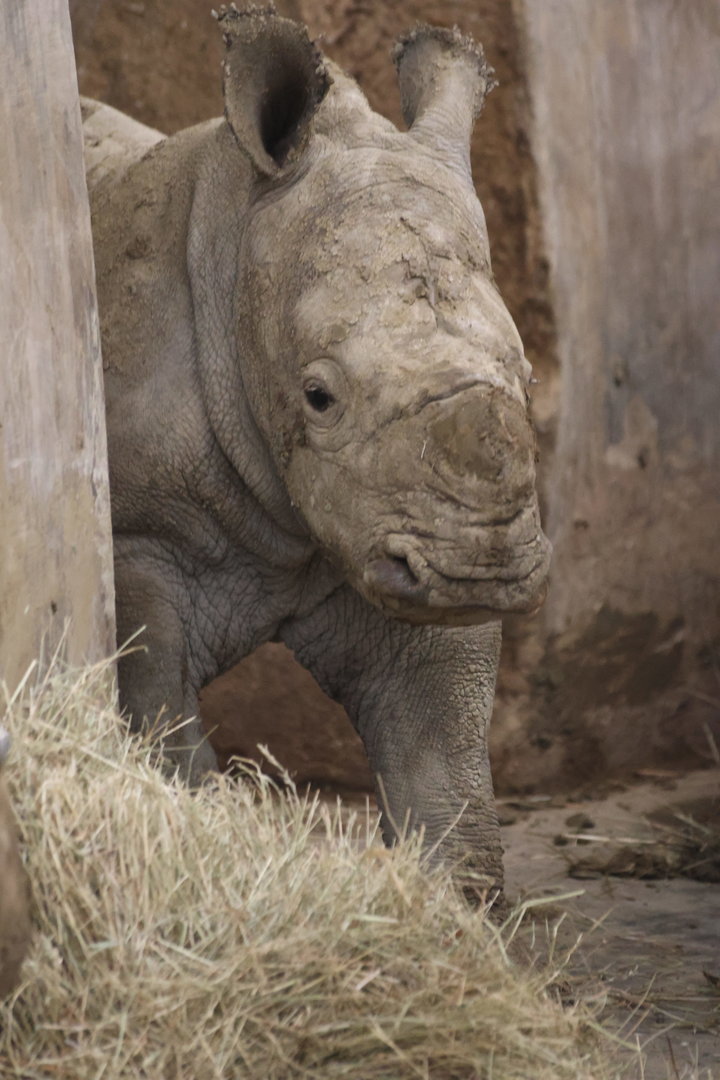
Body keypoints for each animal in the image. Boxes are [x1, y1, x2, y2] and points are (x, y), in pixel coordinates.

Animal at [82, 6, 551, 900]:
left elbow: (441, 759)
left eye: (529, 377)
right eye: (318, 397)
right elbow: (160, 716)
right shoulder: (136, 535)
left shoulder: (385, 519)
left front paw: (448, 904)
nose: (483, 572)